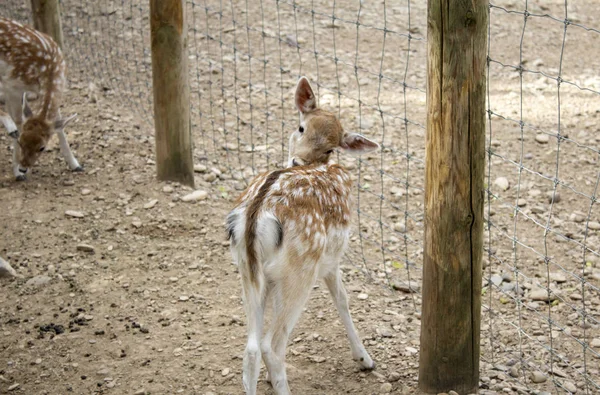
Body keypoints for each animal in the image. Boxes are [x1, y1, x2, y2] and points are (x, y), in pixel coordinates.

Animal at [0, 16, 81, 181]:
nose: (24, 167)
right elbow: (19, 121)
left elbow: (59, 125)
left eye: (42, 147)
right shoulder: (11, 85)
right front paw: (17, 172)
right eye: (21, 141)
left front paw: (75, 164)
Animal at [227, 78, 378, 395]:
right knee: (271, 346)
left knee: (251, 349)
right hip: (301, 270)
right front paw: (364, 359)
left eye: (331, 147)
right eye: (301, 127)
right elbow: (343, 299)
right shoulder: (333, 259)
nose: (297, 160)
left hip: (247, 269)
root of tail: (258, 214)